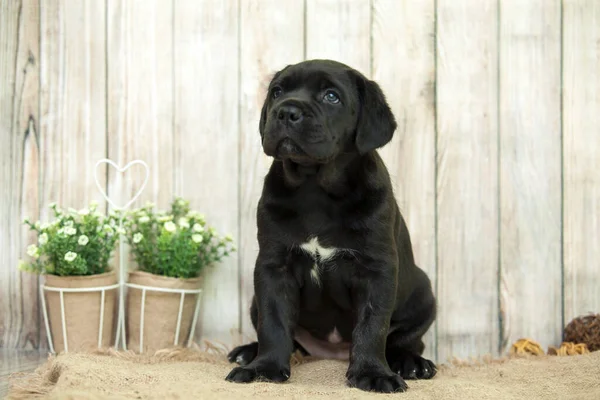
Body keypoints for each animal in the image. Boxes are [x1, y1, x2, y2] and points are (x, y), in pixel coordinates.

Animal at [226, 60, 436, 394]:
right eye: (277, 92)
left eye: (331, 96)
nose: (286, 112)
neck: (315, 186)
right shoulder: (274, 267)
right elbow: (273, 322)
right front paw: (264, 368)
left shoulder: (376, 270)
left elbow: (372, 325)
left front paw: (372, 373)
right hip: (255, 302)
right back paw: (249, 352)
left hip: (424, 294)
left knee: (405, 340)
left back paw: (412, 362)